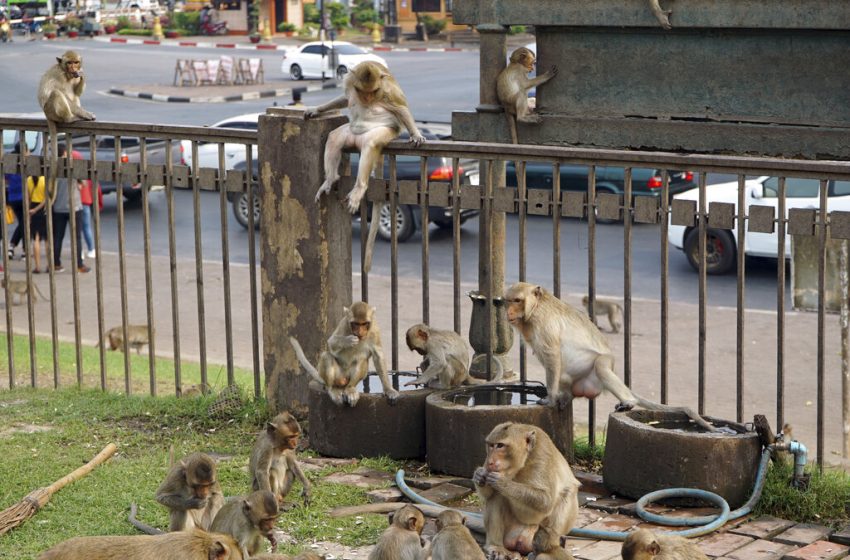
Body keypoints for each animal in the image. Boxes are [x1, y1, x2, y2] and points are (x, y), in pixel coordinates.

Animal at [37, 49, 95, 203]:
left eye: (76, 62)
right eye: (69, 63)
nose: (74, 68)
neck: (66, 74)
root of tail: (46, 115)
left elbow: (76, 92)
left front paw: (82, 75)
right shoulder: (60, 76)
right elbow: (63, 94)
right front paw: (86, 114)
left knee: (73, 95)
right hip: (51, 110)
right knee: (57, 94)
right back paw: (71, 118)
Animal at [304, 59, 424, 274]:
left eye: (373, 92)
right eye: (362, 91)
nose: (367, 98)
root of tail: (356, 140)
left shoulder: (388, 91)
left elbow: (401, 108)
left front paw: (416, 134)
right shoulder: (349, 83)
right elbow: (344, 99)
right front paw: (317, 110)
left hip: (382, 133)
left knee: (369, 144)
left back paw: (359, 188)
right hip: (349, 135)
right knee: (334, 137)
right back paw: (330, 179)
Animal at [468, 422, 580, 556]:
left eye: (500, 445)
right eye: (490, 445)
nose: (490, 462)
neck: (525, 460)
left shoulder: (542, 453)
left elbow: (546, 501)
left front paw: (502, 482)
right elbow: (488, 493)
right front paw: (479, 475)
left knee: (568, 492)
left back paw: (548, 543)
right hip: (510, 531)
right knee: (496, 496)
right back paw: (496, 546)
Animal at [504, 282, 716, 430]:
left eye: (517, 300)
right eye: (508, 301)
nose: (509, 312)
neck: (534, 309)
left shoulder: (543, 323)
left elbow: (552, 356)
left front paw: (550, 398)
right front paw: (555, 397)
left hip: (600, 369)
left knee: (600, 365)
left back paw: (629, 401)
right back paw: (567, 396)